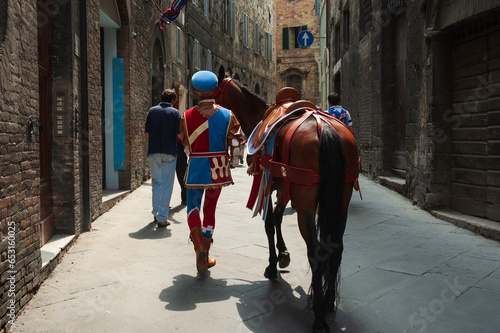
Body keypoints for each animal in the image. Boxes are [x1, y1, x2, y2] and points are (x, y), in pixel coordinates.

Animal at [212, 65, 360, 332]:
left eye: (215, 92)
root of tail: (326, 129)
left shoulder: (268, 182)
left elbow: (270, 223)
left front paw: (272, 264)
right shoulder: (283, 186)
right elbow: (279, 217)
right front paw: (283, 254)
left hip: (305, 204)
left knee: (315, 252)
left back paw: (319, 317)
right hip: (341, 199)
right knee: (336, 248)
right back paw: (329, 302)